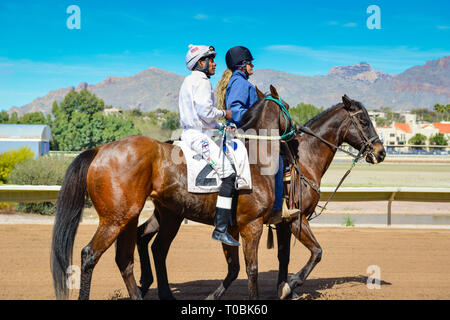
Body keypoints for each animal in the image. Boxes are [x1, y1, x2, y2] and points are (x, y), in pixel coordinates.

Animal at [51, 85, 294, 300]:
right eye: (289, 106)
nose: (296, 132)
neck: (255, 160)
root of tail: (100, 149)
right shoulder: (251, 225)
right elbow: (251, 269)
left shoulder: (232, 228)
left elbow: (234, 268)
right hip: (115, 219)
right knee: (90, 254)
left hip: (141, 216)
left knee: (130, 257)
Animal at [135, 94, 384, 298]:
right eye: (364, 121)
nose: (380, 152)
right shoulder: (291, 219)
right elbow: (315, 252)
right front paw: (289, 285)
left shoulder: (279, 222)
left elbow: (283, 256)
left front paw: (284, 288)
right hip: (173, 217)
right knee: (158, 249)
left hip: (167, 213)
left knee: (144, 237)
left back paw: (145, 283)